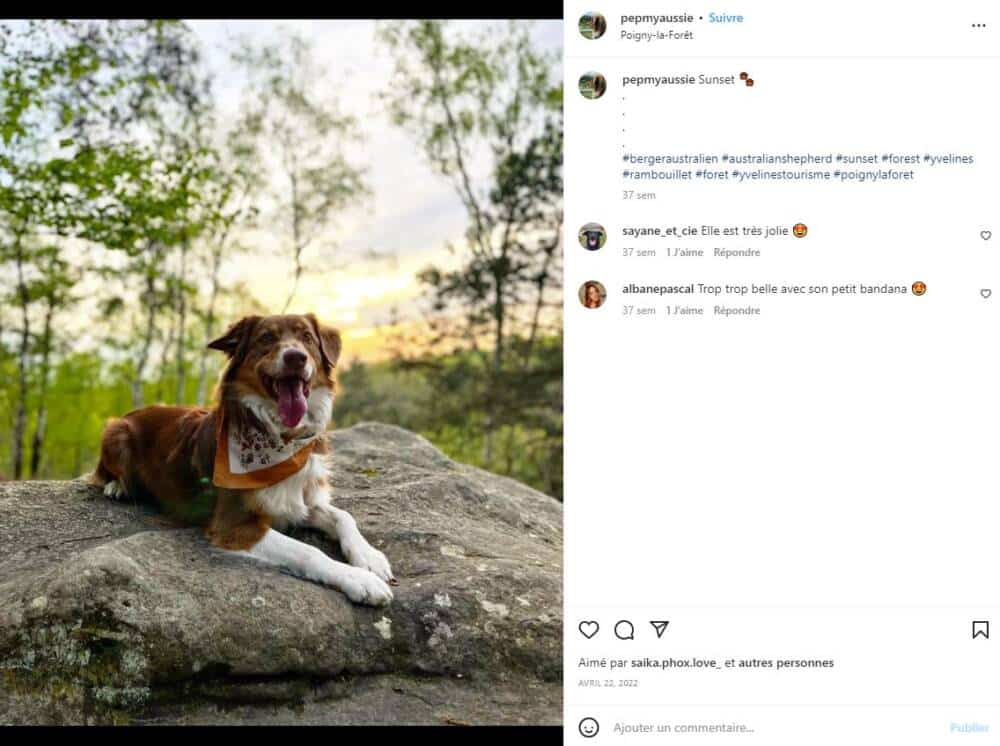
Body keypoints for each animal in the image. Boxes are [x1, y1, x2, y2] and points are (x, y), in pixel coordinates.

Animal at [89, 314, 394, 604]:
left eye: (307, 337)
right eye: (267, 338)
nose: (296, 357)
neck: (281, 438)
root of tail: (135, 412)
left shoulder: (302, 501)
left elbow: (344, 516)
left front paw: (370, 558)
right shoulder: (233, 524)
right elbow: (308, 551)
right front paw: (359, 580)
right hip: (115, 431)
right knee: (104, 473)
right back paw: (118, 487)